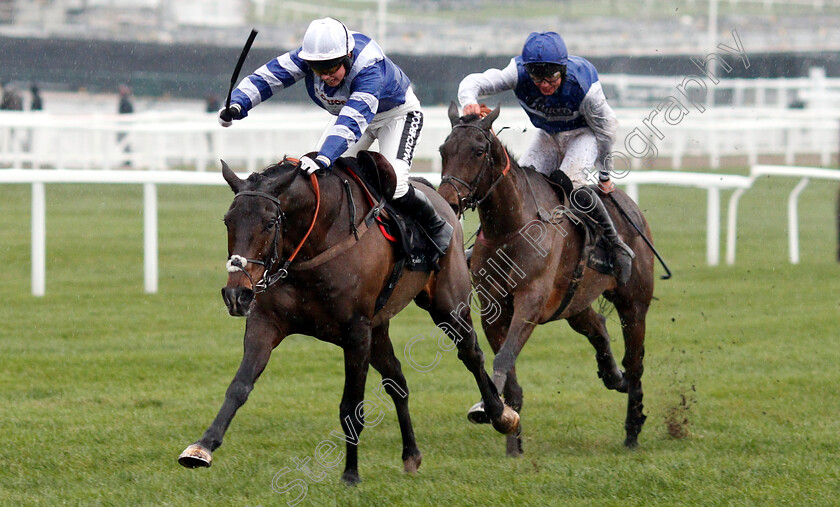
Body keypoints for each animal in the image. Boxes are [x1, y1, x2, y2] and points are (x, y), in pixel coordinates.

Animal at [178, 154, 520, 484]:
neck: (315, 244)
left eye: (270, 222)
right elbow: (239, 386)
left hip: (447, 304)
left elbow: (351, 407)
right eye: (228, 220)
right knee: (397, 380)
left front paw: (351, 474)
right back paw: (411, 453)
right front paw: (202, 447)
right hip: (379, 329)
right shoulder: (266, 324)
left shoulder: (356, 332)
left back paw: (500, 414)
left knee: (471, 353)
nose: (236, 294)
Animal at [440, 103, 656, 456]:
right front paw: (512, 440)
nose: (449, 200)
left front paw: (490, 412)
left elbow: (505, 355)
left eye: (478, 150)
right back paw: (614, 376)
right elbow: (509, 372)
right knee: (597, 326)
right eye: (443, 150)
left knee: (635, 361)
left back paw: (633, 429)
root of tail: (630, 206)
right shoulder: (493, 308)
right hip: (573, 302)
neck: (510, 228)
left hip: (634, 303)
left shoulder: (530, 301)